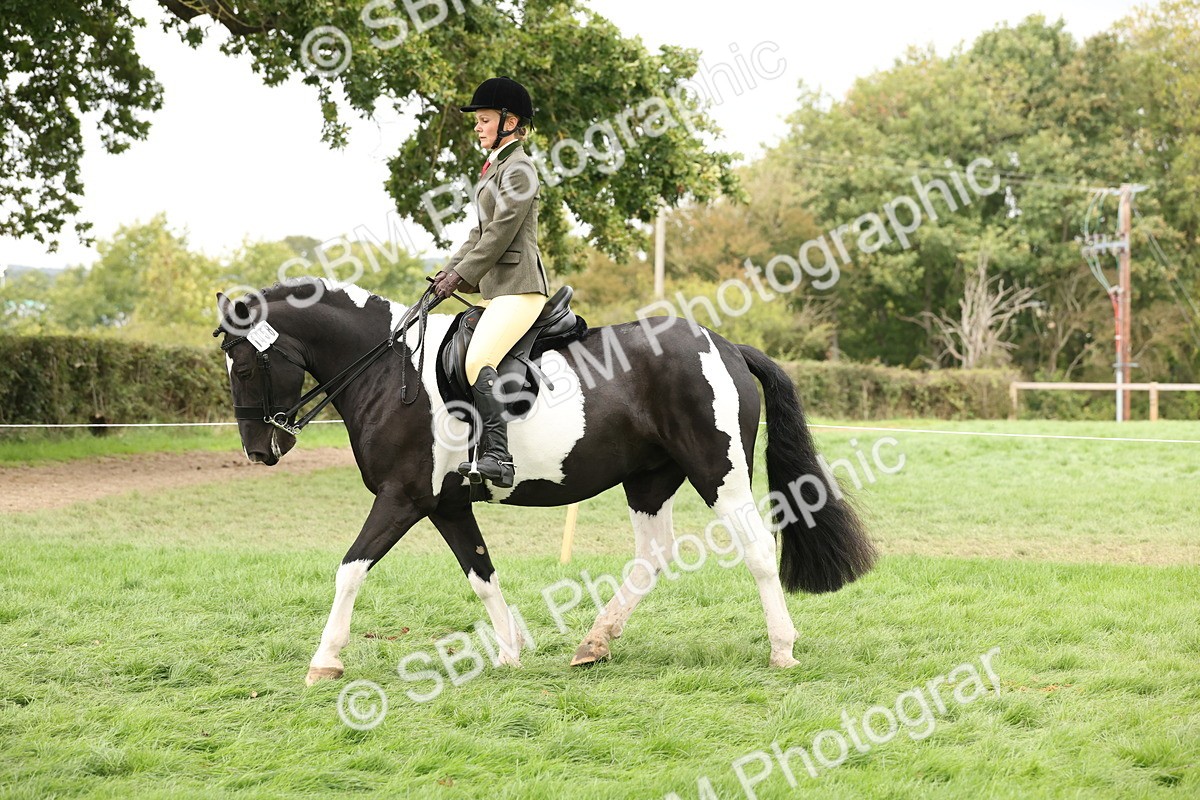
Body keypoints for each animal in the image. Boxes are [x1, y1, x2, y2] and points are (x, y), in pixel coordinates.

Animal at [212, 278, 875, 686]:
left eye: (243, 367)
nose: (259, 450)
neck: (387, 368)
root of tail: (728, 346)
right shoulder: (446, 505)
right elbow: (481, 574)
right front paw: (510, 652)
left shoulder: (403, 498)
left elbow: (350, 569)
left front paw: (325, 661)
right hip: (649, 480)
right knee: (652, 556)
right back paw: (595, 643)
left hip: (720, 473)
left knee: (758, 549)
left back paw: (783, 649)